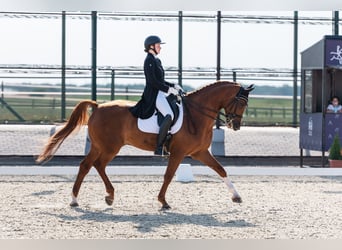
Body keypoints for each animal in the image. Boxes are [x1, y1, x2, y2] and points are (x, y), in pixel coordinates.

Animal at [36, 80, 254, 209]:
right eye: (242, 103)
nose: (235, 126)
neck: (197, 114)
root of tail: (98, 106)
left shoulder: (200, 152)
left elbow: (221, 169)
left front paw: (236, 197)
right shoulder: (179, 152)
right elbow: (168, 175)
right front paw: (163, 201)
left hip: (100, 146)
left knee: (87, 166)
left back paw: (82, 199)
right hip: (110, 147)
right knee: (97, 165)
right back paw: (103, 196)